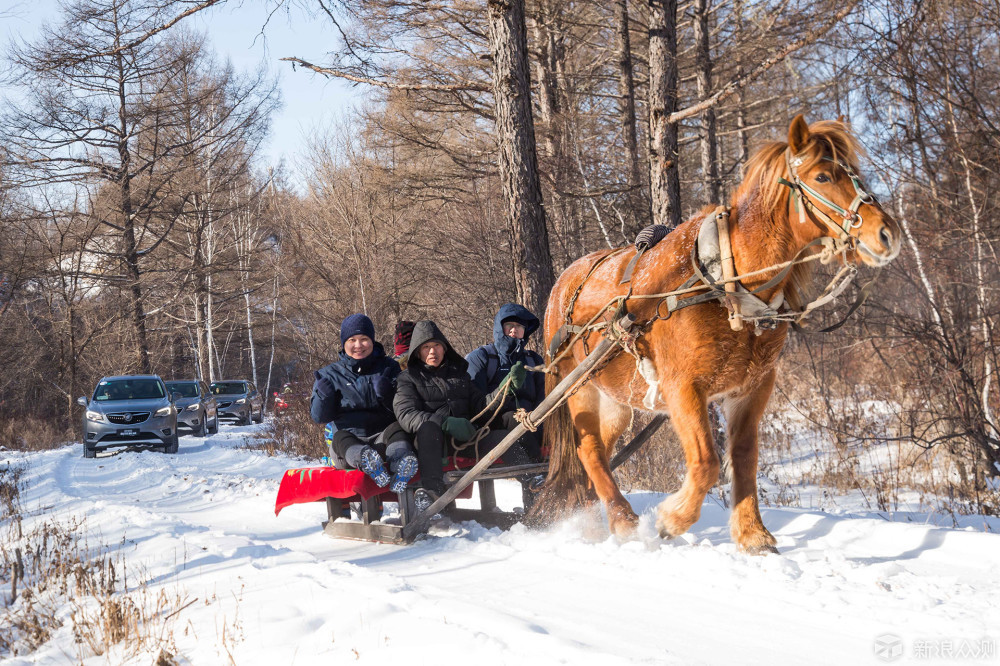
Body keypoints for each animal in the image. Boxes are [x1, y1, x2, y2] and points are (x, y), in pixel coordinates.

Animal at [528, 116, 904, 552]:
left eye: (854, 172)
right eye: (822, 176)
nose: (887, 233)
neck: (722, 283)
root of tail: (561, 288)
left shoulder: (752, 387)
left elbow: (743, 457)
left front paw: (753, 534)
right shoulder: (683, 388)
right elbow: (706, 462)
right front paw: (672, 519)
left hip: (616, 400)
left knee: (598, 454)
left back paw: (599, 515)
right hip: (579, 388)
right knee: (588, 449)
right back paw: (623, 521)